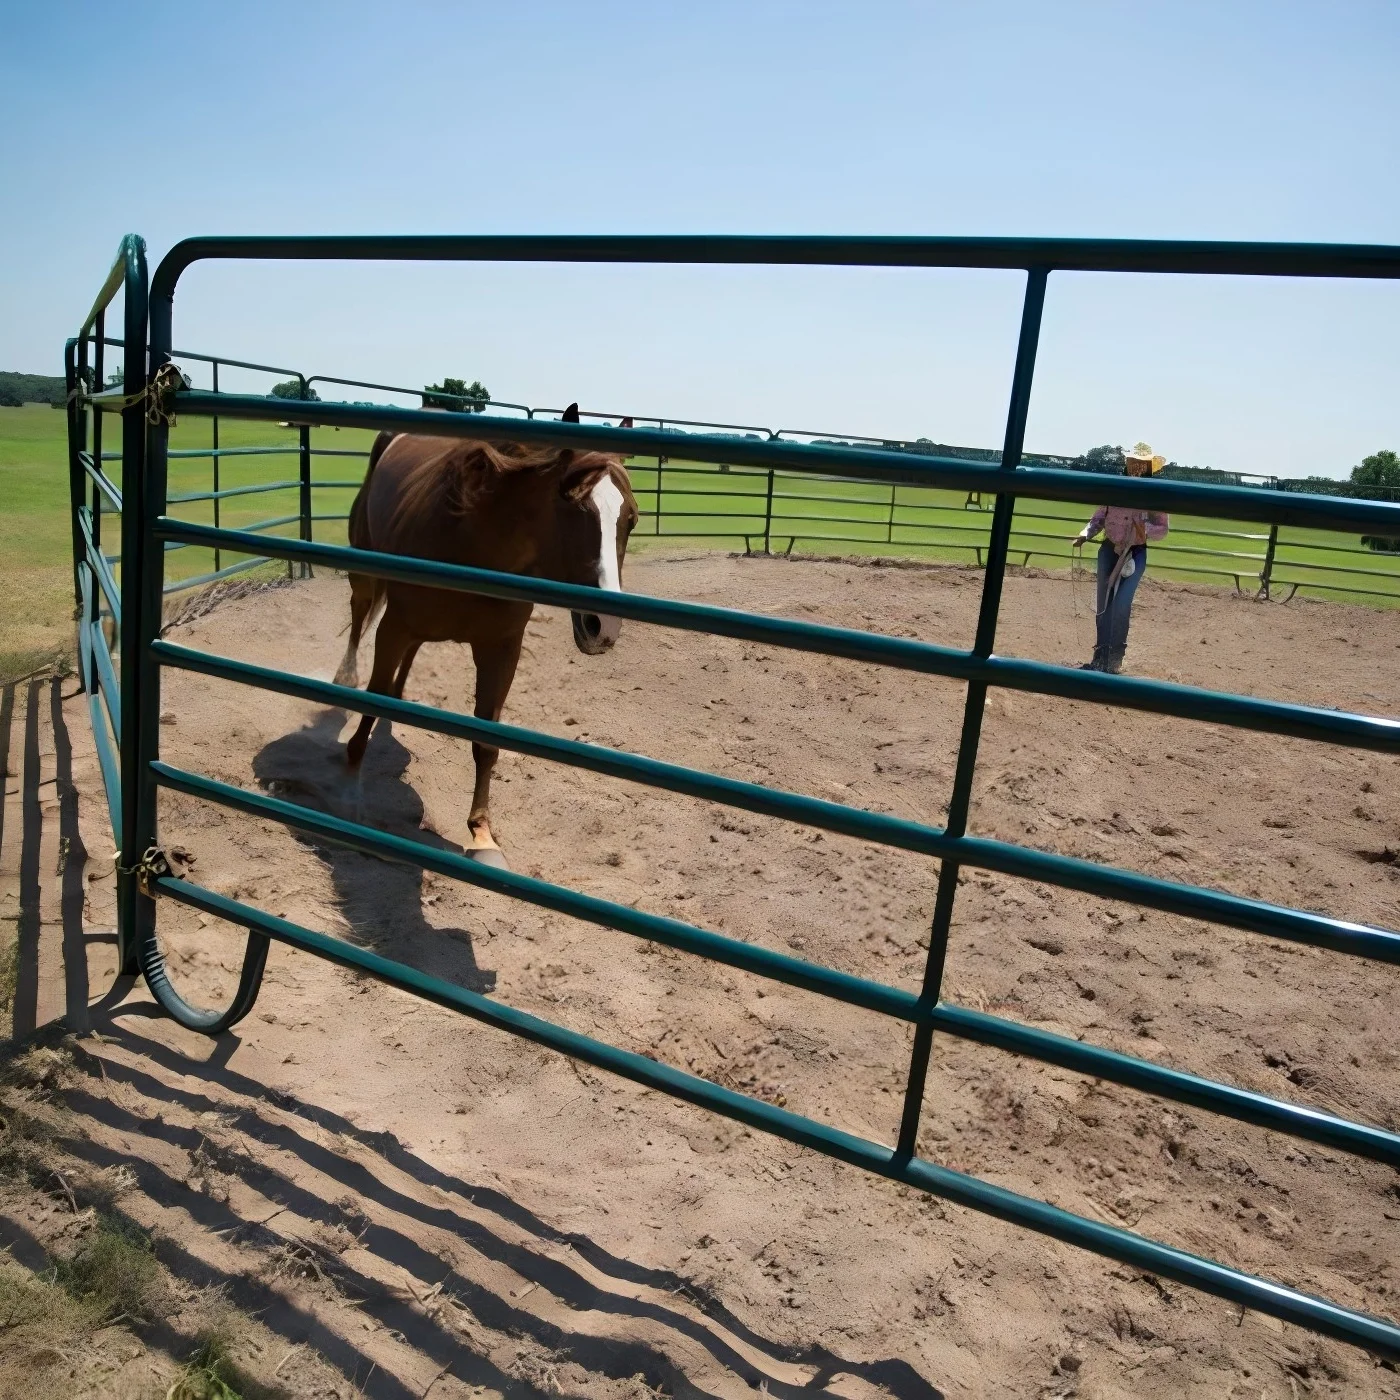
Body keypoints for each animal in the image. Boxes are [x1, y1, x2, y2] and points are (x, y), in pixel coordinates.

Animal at [335, 404, 638, 866]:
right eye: (570, 503)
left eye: (631, 520)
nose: (604, 627)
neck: (474, 543)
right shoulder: (394, 628)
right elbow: (370, 702)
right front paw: (352, 793)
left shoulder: (501, 649)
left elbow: (487, 743)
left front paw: (483, 836)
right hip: (365, 575)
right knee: (358, 615)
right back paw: (345, 677)